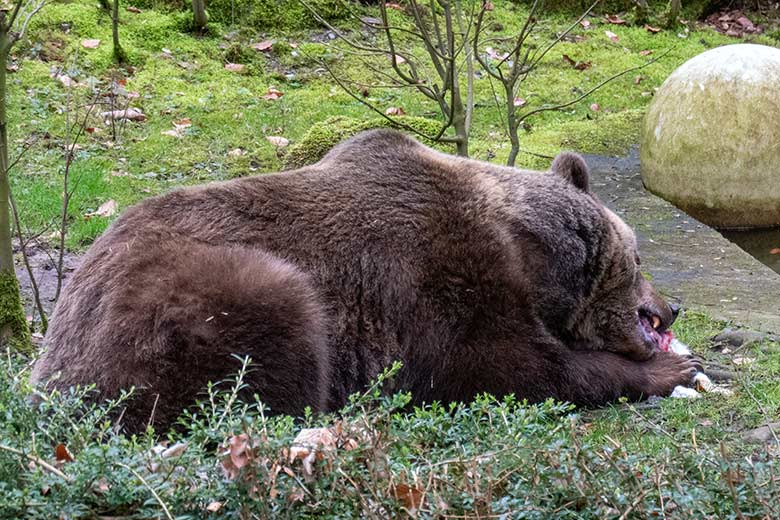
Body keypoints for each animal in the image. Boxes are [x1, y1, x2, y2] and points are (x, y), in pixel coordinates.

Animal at [33, 129, 696, 430]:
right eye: (639, 260)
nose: (671, 308)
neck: (527, 254)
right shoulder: (437, 272)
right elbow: (504, 367)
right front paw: (670, 369)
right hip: (187, 300)